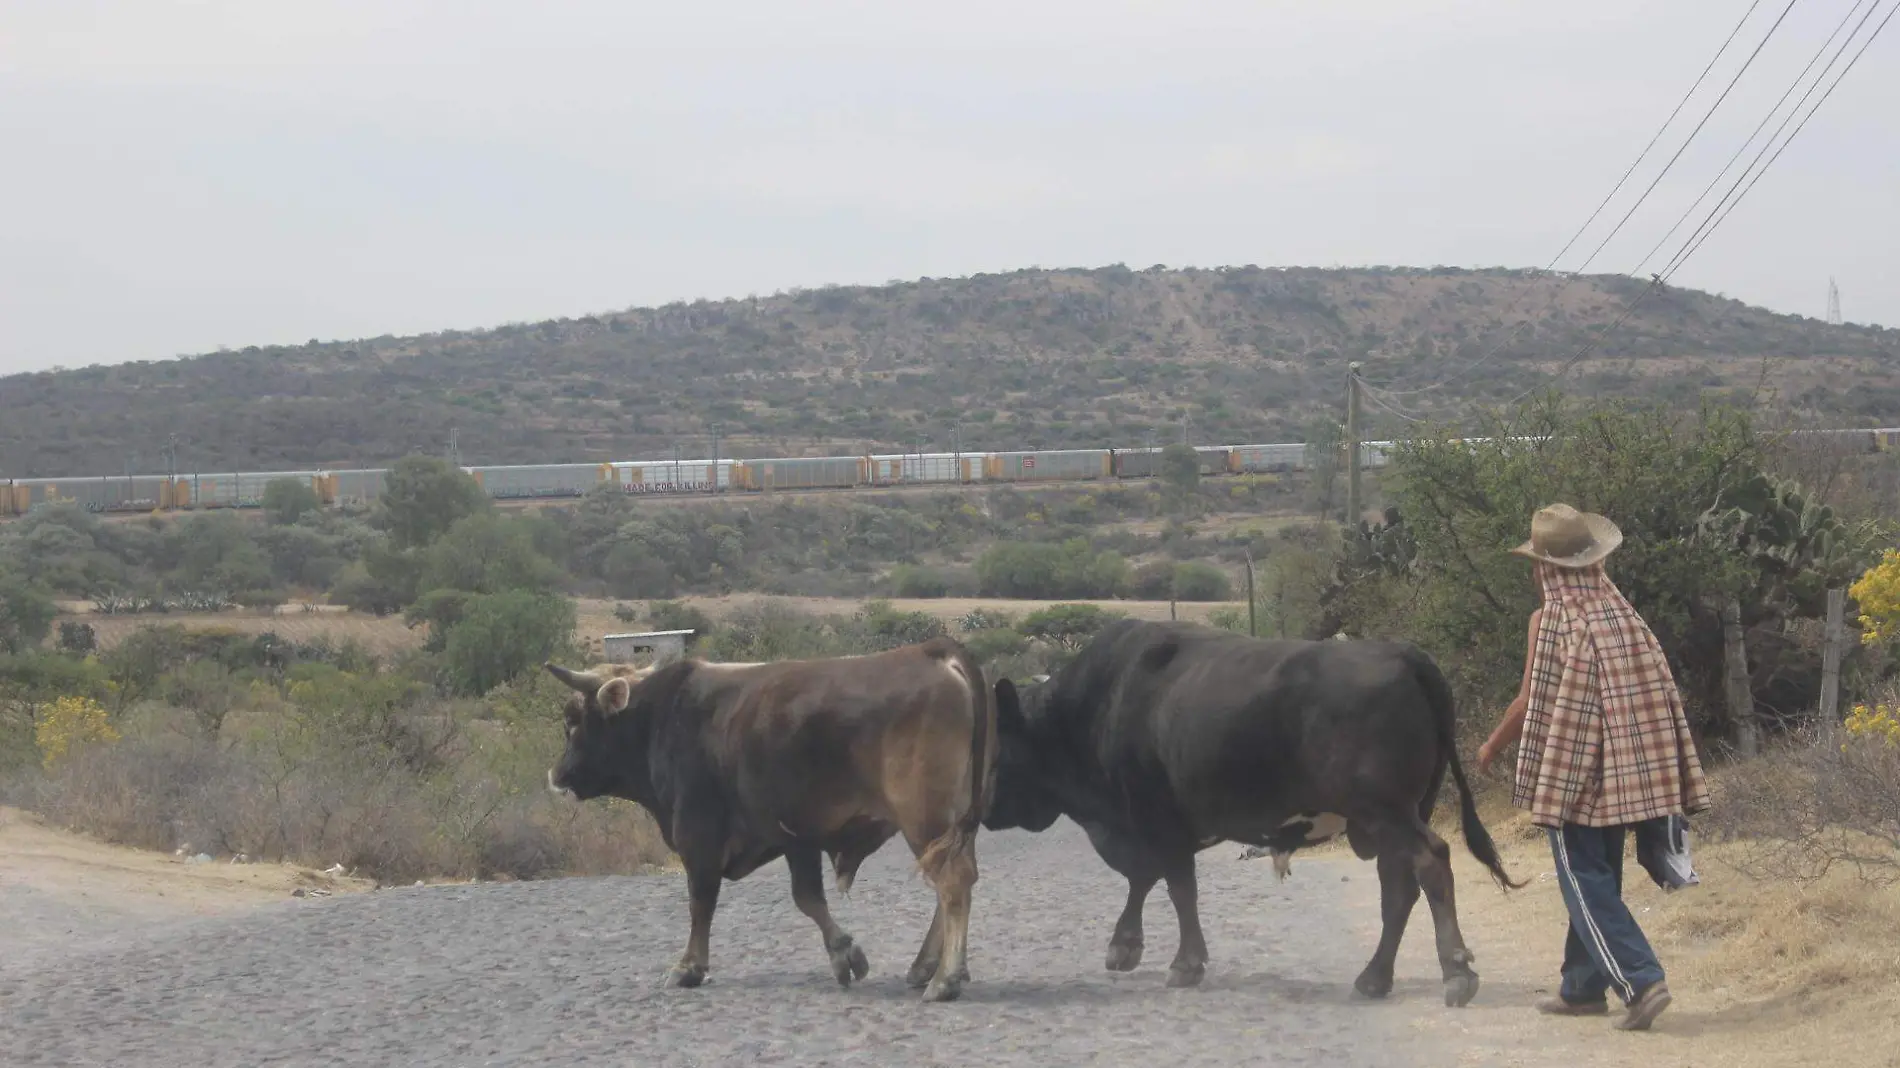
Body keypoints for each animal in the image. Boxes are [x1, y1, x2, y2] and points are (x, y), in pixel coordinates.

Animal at [543, 634, 995, 1003]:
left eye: (572, 720)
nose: (556, 774)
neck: (662, 715)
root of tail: (930, 651)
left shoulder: (698, 836)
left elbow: (700, 901)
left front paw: (689, 967)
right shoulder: (797, 837)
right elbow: (808, 899)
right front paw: (843, 953)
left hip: (925, 820)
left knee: (952, 884)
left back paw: (944, 979)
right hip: (948, 825)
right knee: (955, 883)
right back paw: (927, 968)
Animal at [988, 615, 1520, 1003]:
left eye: (995, 749)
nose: (986, 810)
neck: (1099, 702)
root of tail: (1403, 652)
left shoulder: (1155, 817)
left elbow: (1174, 885)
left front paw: (1180, 962)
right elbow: (1149, 879)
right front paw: (1126, 946)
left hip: (1388, 811)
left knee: (1431, 863)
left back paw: (1455, 971)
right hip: (1396, 816)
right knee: (1398, 890)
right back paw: (1374, 977)